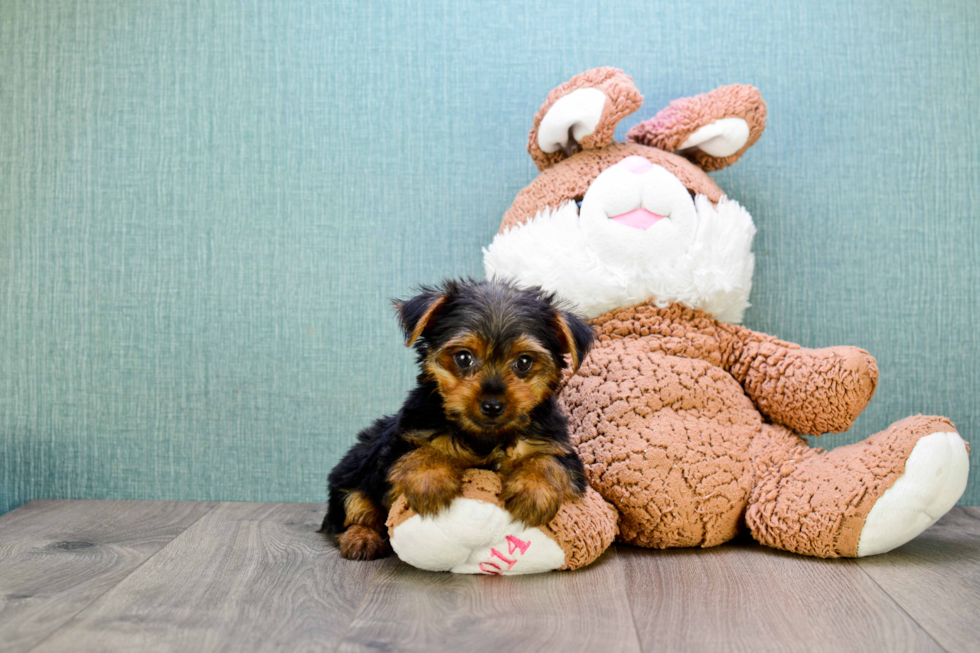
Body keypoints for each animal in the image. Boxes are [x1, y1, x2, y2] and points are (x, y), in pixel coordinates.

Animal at [326, 278, 592, 556]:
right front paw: (429, 479)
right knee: (353, 506)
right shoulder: (400, 445)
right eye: (463, 358)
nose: (492, 405)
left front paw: (534, 489)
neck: (486, 436)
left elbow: (549, 461)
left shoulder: (559, 449)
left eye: (524, 362)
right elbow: (418, 452)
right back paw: (361, 537)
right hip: (352, 472)